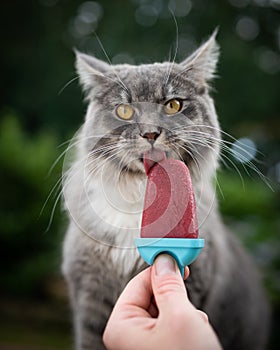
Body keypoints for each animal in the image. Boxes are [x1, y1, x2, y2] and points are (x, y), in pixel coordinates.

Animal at [61, 30, 270, 350]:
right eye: (124, 110)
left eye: (173, 105)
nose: (150, 132)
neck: (142, 192)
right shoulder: (88, 292)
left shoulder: (195, 284)